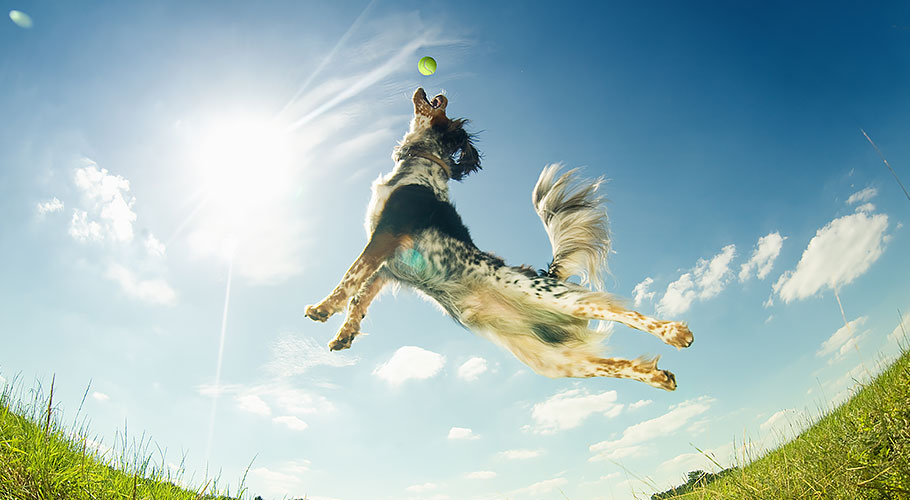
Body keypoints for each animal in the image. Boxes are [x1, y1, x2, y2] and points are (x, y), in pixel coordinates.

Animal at [302, 88, 696, 388]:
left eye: (445, 108)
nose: (437, 90)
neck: (420, 167)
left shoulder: (387, 233)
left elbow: (350, 276)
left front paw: (322, 308)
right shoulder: (389, 265)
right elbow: (360, 297)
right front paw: (344, 333)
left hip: (556, 298)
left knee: (619, 311)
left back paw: (675, 332)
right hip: (551, 360)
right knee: (609, 365)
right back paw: (657, 376)